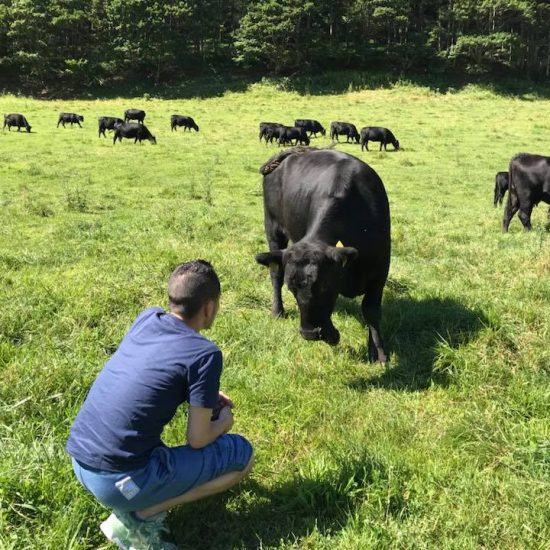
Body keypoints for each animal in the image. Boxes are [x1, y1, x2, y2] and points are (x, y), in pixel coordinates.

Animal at [258, 148, 392, 362]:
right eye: (292, 289)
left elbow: (371, 311)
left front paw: (378, 352)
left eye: (325, 286)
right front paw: (331, 335)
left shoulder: (379, 272)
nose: (309, 333)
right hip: (272, 228)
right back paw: (277, 311)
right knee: (275, 276)